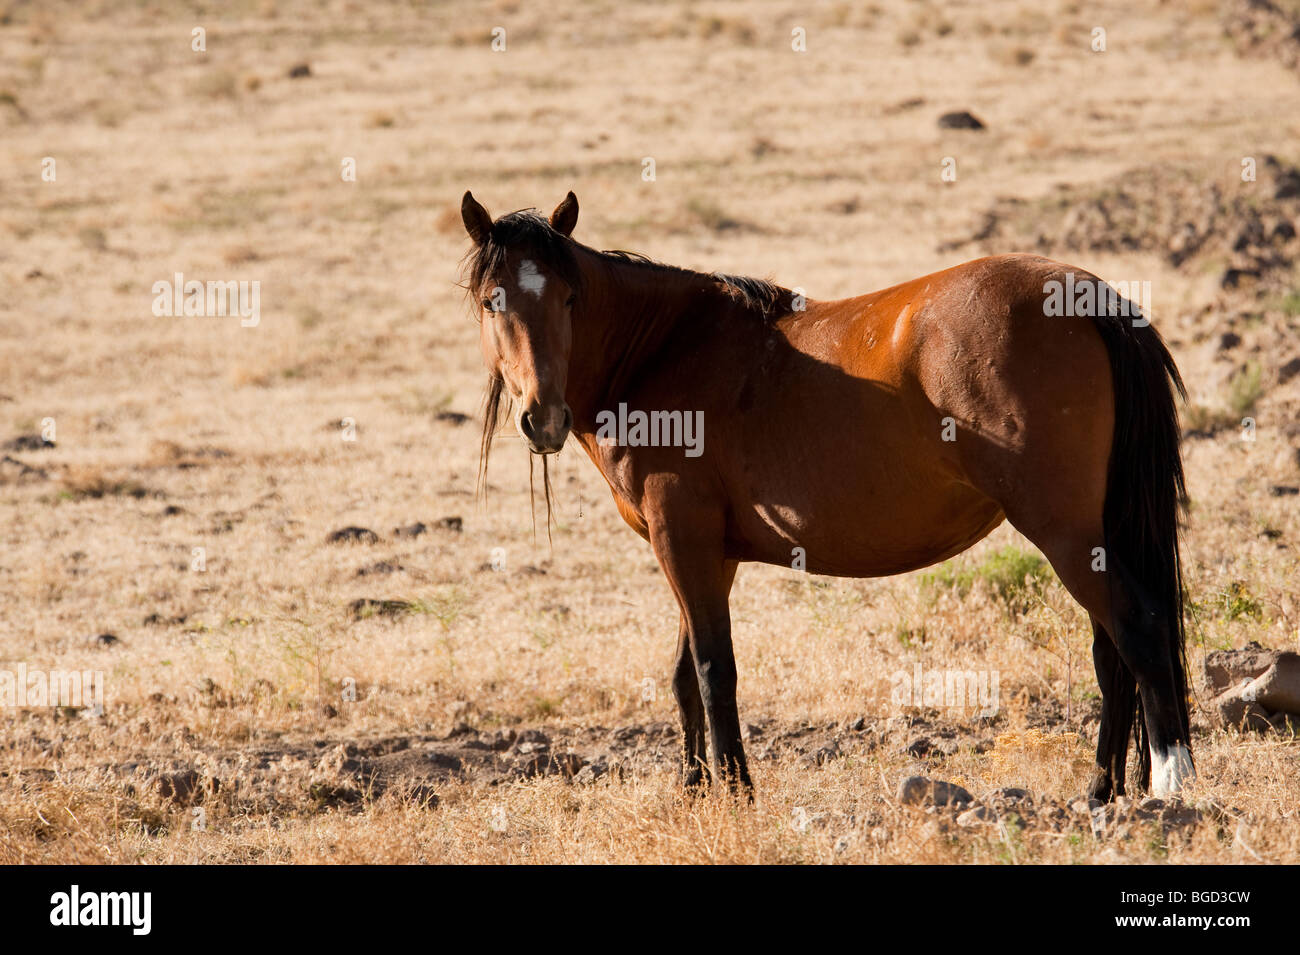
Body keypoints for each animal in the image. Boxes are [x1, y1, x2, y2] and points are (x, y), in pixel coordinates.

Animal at [459, 189, 1194, 801]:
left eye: (568, 299)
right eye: (494, 299)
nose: (543, 417)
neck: (661, 350)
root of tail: (1086, 296)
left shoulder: (682, 538)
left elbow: (714, 669)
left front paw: (736, 792)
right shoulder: (704, 552)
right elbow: (685, 675)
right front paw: (694, 791)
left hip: (1063, 531)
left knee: (1139, 628)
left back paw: (1171, 784)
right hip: (1091, 534)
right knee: (1111, 652)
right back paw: (1100, 792)